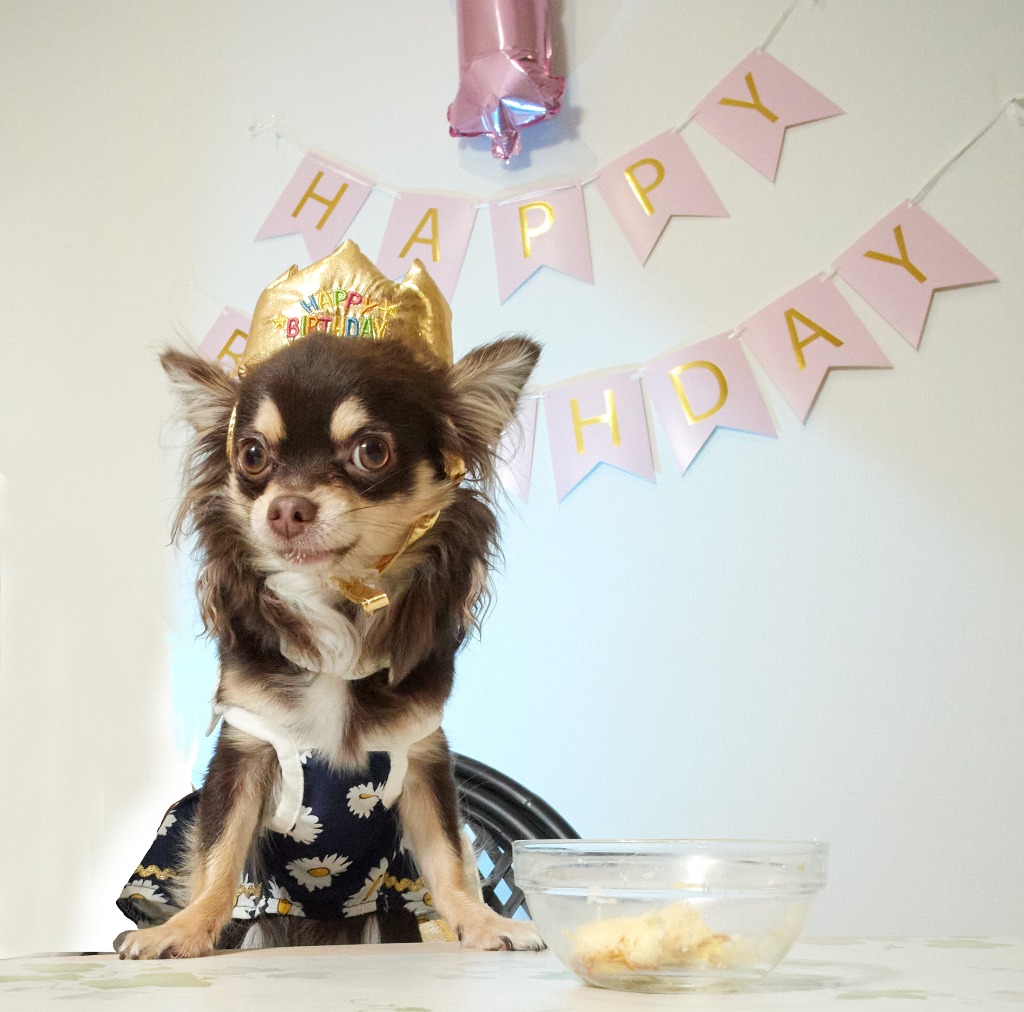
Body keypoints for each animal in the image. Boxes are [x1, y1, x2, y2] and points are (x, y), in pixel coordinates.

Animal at [115, 257, 542, 958]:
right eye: (252, 454)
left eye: (372, 451)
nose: (286, 507)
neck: (335, 604)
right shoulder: (245, 749)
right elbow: (218, 855)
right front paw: (185, 929)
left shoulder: (422, 755)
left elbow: (450, 858)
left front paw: (484, 923)